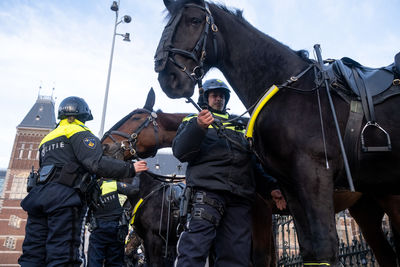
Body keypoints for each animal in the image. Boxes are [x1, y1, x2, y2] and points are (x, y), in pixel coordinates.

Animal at [155, 1, 400, 266]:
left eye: (194, 20)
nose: (167, 77)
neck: (291, 89)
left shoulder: (315, 175)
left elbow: (324, 246)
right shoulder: (291, 185)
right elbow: (309, 249)